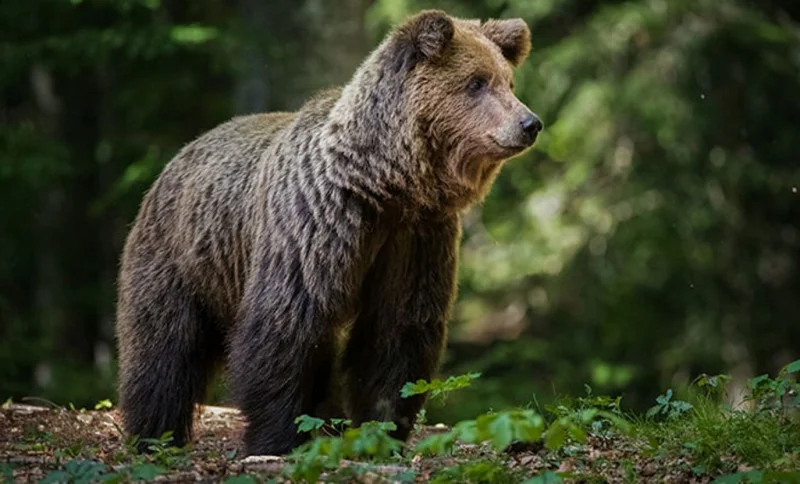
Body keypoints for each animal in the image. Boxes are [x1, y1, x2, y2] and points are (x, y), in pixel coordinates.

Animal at [115, 9, 542, 456]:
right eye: (476, 82)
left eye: (508, 81)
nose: (530, 123)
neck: (382, 183)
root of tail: (179, 155)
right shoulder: (316, 227)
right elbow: (285, 327)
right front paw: (274, 439)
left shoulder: (414, 237)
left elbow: (397, 332)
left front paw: (381, 429)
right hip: (181, 257)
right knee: (164, 347)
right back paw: (155, 434)